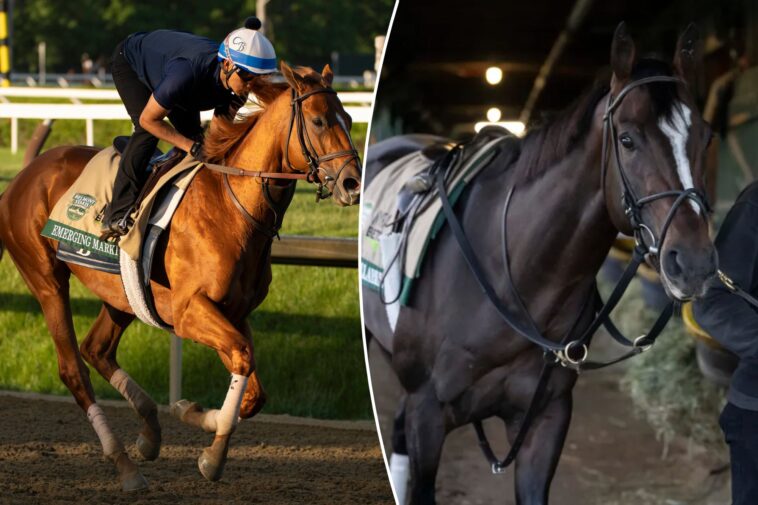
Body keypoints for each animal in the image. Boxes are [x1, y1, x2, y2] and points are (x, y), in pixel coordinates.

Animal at [0, 62, 361, 491]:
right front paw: (212, 455)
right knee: (74, 369)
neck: (232, 205)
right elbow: (242, 358)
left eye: (350, 119)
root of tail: (25, 174)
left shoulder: (233, 312)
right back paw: (125, 464)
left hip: (122, 294)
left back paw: (149, 433)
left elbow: (252, 385)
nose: (353, 183)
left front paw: (192, 412)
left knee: (97, 349)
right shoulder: (190, 312)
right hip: (46, 280)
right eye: (319, 120)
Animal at [362, 24, 716, 504]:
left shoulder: (546, 421)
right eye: (627, 139)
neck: (512, 280)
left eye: (705, 138)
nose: (694, 262)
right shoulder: (428, 413)